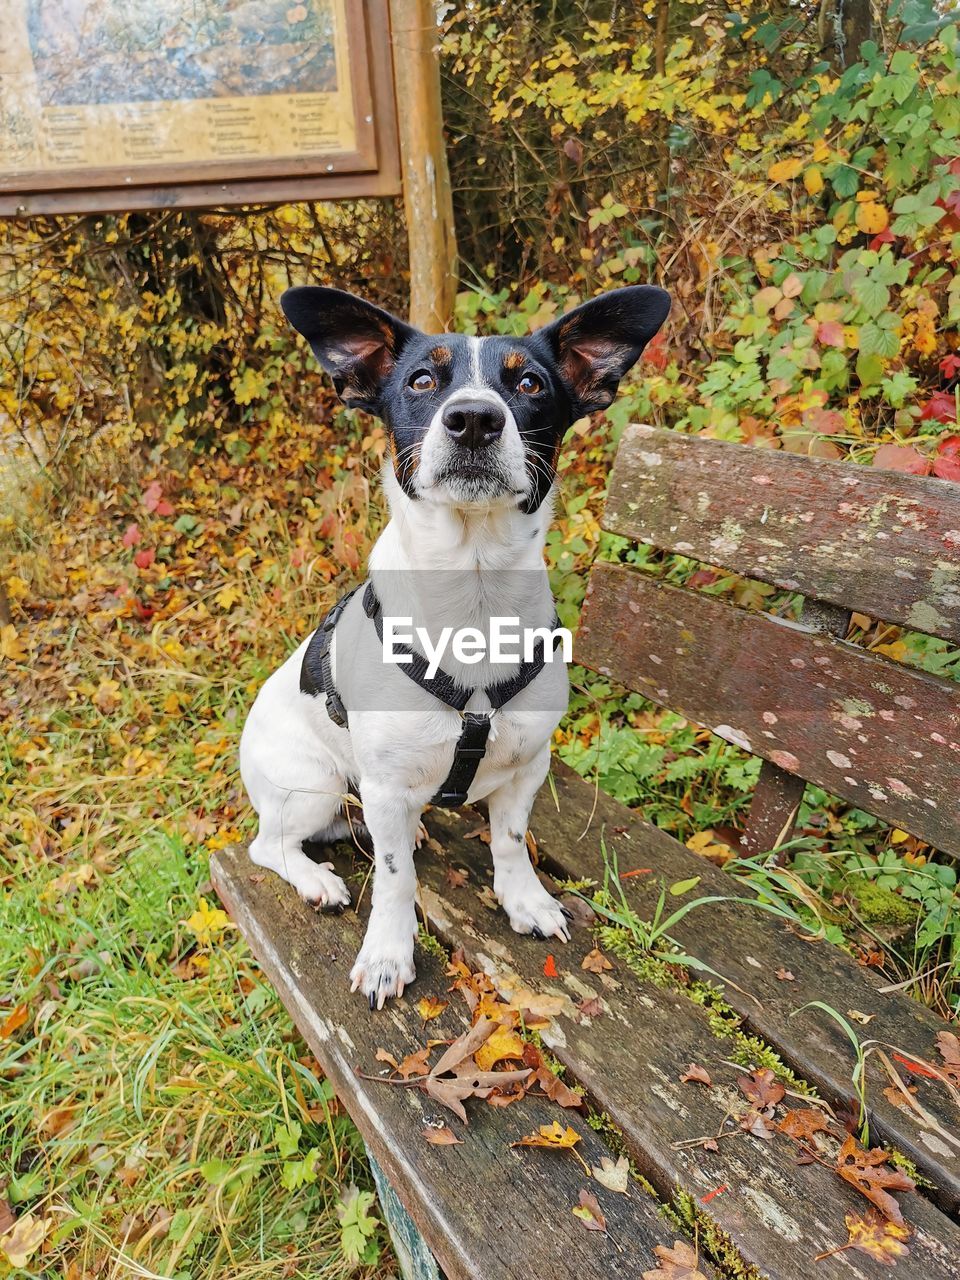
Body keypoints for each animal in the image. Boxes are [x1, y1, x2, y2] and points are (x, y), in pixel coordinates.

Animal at [239, 282, 670, 1008]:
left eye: (528, 382)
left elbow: (511, 842)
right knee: (269, 846)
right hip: (313, 784)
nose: (472, 419)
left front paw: (524, 900)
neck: (473, 594)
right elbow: (394, 880)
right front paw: (388, 952)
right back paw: (317, 879)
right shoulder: (384, 785)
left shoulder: (527, 765)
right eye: (420, 380)